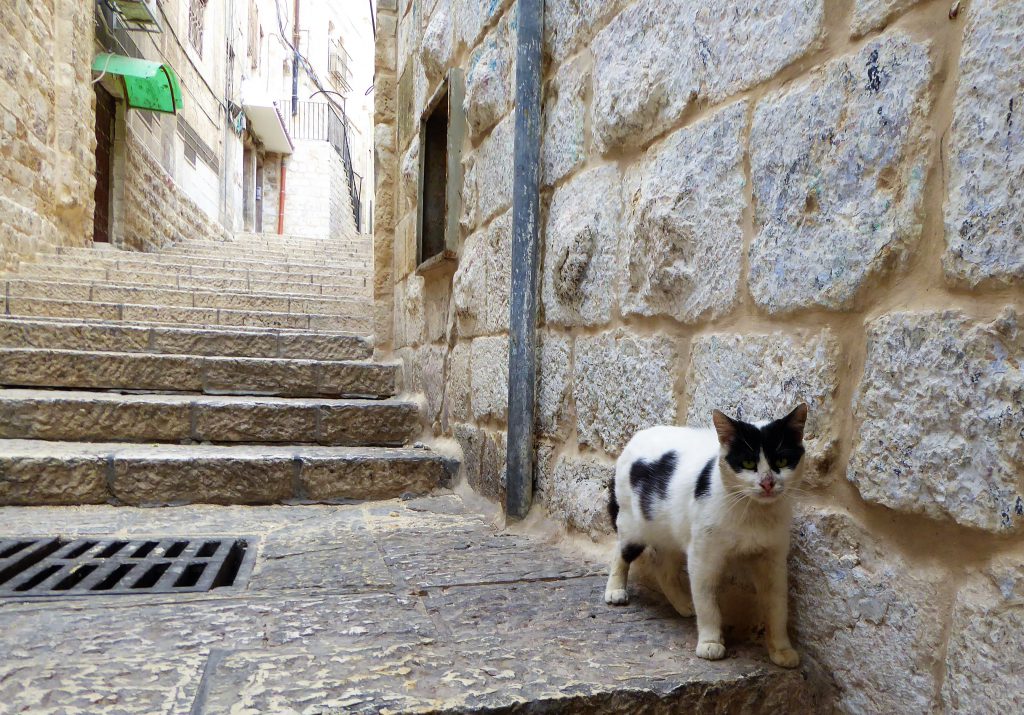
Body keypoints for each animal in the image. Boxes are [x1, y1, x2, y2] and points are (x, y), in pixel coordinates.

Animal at [598, 403, 806, 663]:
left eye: (782, 459)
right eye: (748, 463)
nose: (767, 483)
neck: (753, 514)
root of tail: (636, 436)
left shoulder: (772, 560)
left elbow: (777, 607)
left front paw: (781, 650)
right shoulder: (703, 557)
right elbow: (707, 603)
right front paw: (710, 642)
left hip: (671, 532)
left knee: (663, 568)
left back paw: (683, 605)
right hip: (633, 524)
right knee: (621, 552)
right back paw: (615, 590)